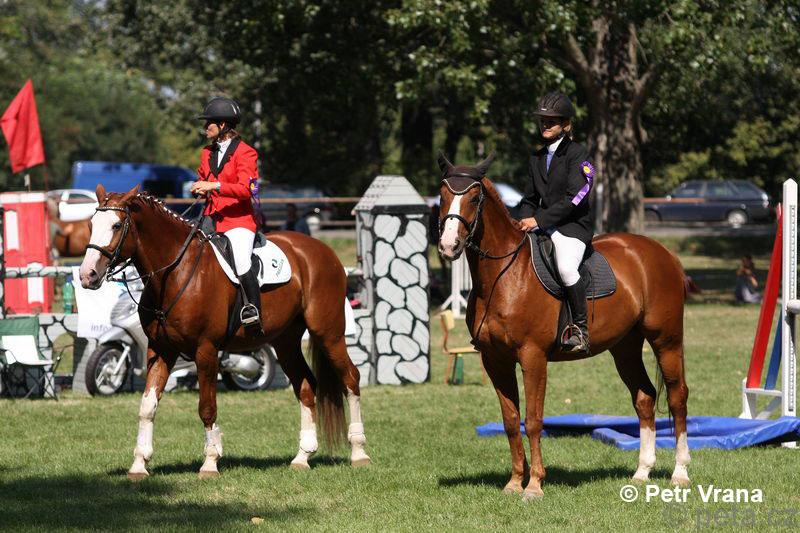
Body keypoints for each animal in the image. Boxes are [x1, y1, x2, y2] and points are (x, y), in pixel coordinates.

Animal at [79, 184, 370, 479]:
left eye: (116, 225)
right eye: (91, 224)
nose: (87, 275)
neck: (175, 272)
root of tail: (322, 250)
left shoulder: (205, 350)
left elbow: (207, 407)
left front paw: (210, 462)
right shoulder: (160, 350)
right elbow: (147, 406)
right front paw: (139, 464)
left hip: (329, 334)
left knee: (350, 379)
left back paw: (359, 452)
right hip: (285, 342)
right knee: (307, 386)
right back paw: (302, 457)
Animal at [437, 153, 689, 500]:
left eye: (474, 199)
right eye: (442, 197)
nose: (448, 246)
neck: (503, 276)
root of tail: (663, 253)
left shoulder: (533, 357)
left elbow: (533, 420)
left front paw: (534, 485)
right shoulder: (495, 361)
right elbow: (510, 420)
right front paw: (514, 482)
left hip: (666, 340)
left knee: (677, 398)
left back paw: (680, 473)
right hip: (625, 347)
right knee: (645, 398)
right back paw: (641, 472)